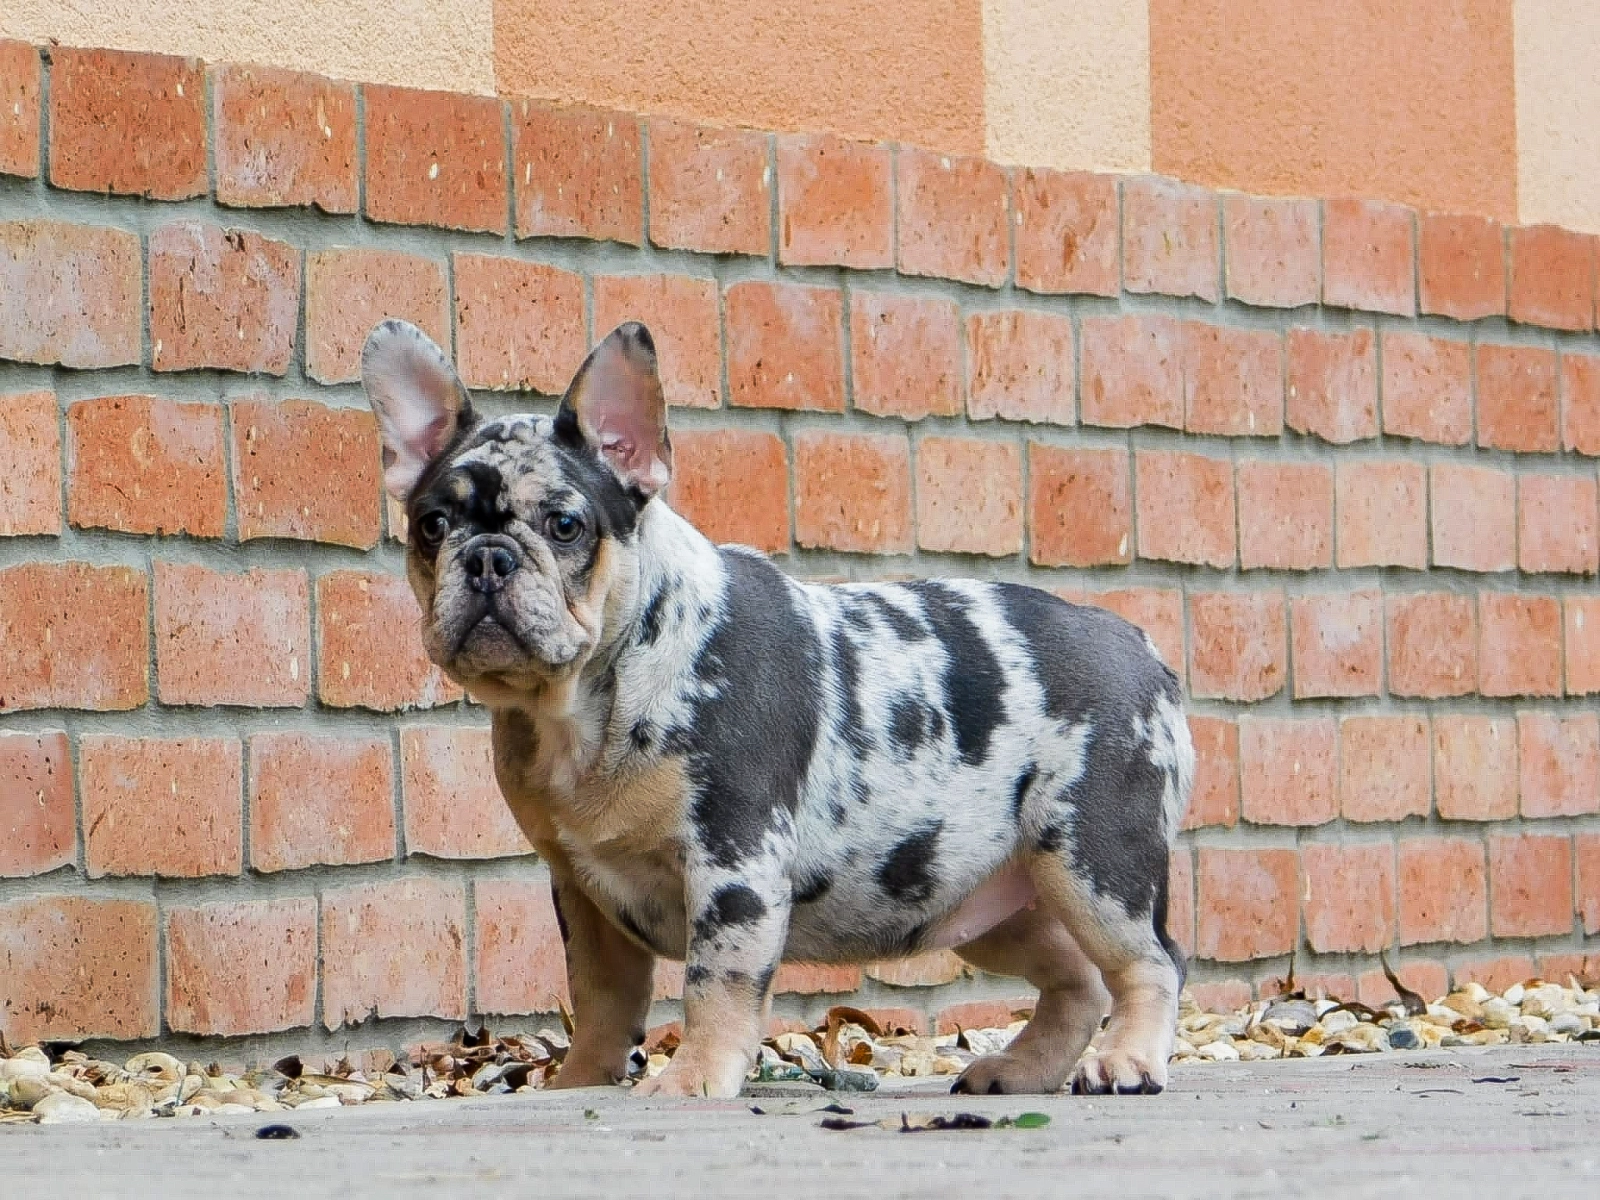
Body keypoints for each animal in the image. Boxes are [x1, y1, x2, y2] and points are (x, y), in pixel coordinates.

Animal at [360, 317, 1193, 1098]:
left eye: (565, 525)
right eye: (432, 526)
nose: (489, 557)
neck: (588, 700)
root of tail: (1136, 644)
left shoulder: (734, 859)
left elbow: (716, 979)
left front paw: (694, 1077)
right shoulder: (585, 893)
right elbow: (599, 999)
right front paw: (582, 1083)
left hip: (1094, 861)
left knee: (1150, 961)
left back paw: (1126, 1061)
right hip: (982, 896)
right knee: (1076, 979)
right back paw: (1019, 1071)